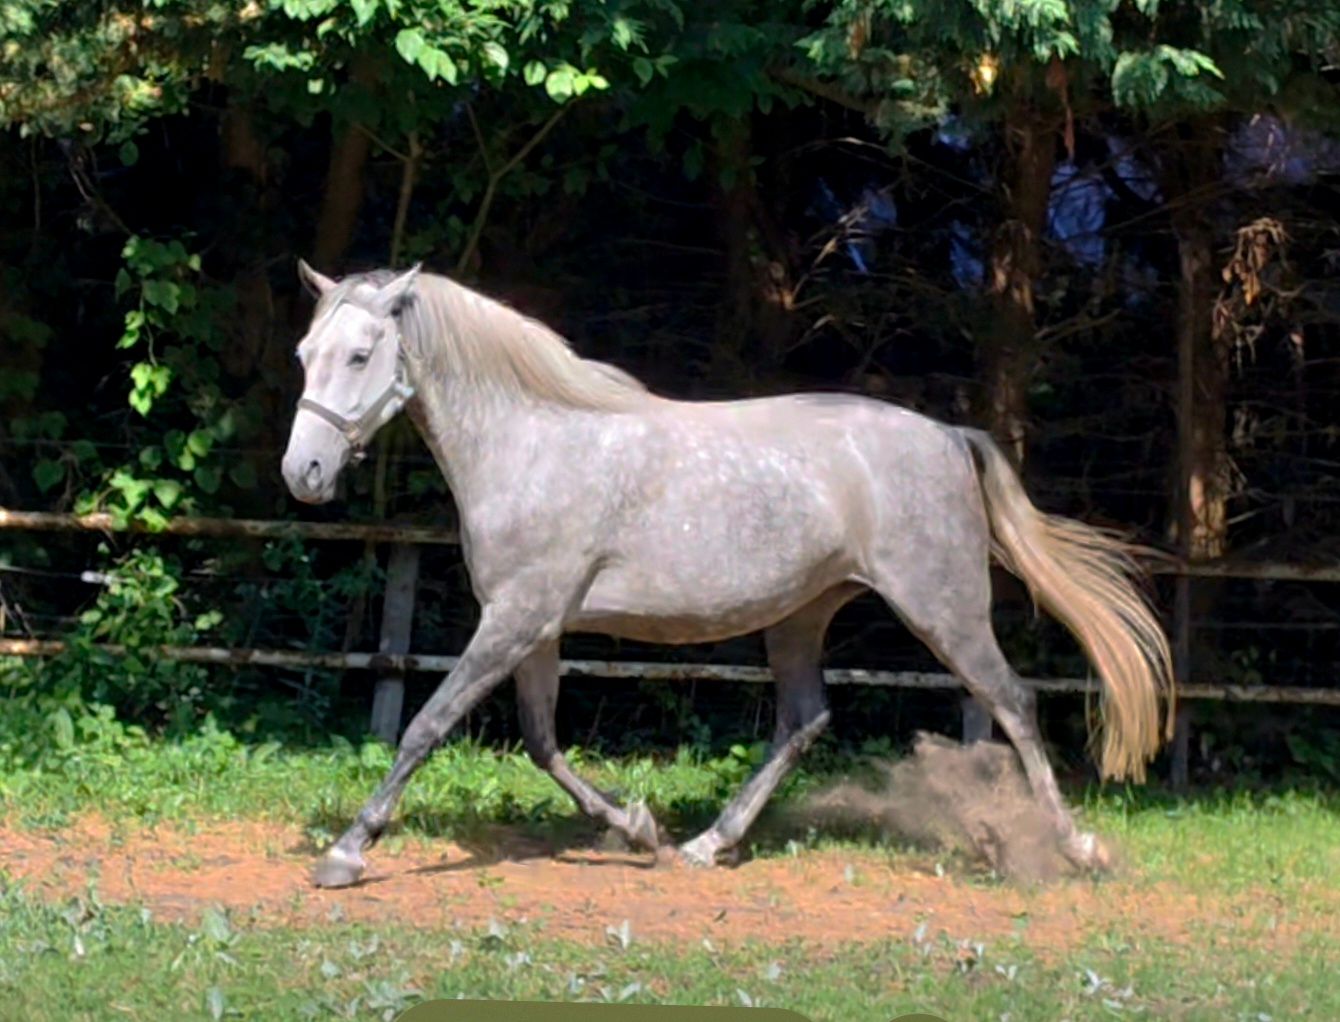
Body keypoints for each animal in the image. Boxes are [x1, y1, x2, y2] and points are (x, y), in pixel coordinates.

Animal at [281, 260, 1174, 889]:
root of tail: (953, 438)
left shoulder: (514, 619)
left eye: (359, 355)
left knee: (1013, 702)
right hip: (802, 615)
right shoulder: (533, 627)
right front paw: (638, 830)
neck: (531, 443)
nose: (304, 473)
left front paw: (347, 853)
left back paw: (1076, 848)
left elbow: (427, 725)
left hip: (941, 609)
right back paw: (708, 843)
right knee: (806, 719)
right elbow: (542, 744)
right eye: (304, 353)